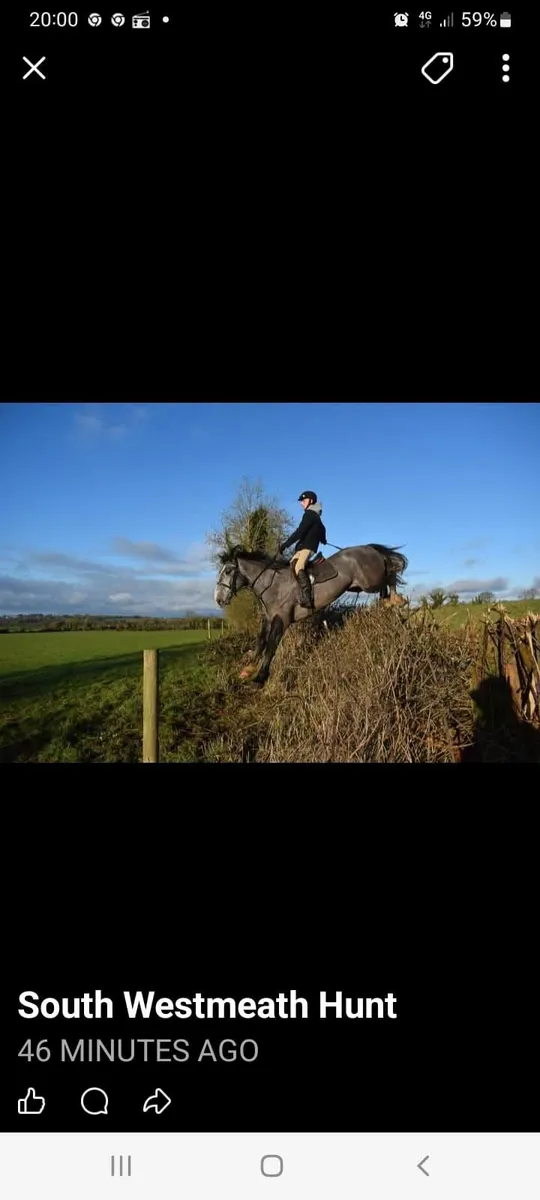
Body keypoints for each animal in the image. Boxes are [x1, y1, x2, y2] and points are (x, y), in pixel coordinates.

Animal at [214, 543, 408, 687]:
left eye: (228, 571)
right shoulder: (268, 618)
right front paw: (248, 668)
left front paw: (260, 678)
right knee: (384, 587)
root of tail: (369, 548)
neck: (272, 584)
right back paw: (388, 606)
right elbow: (260, 641)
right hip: (358, 585)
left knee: (390, 574)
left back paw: (397, 601)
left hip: (370, 581)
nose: (218, 599)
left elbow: (271, 646)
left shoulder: (281, 619)